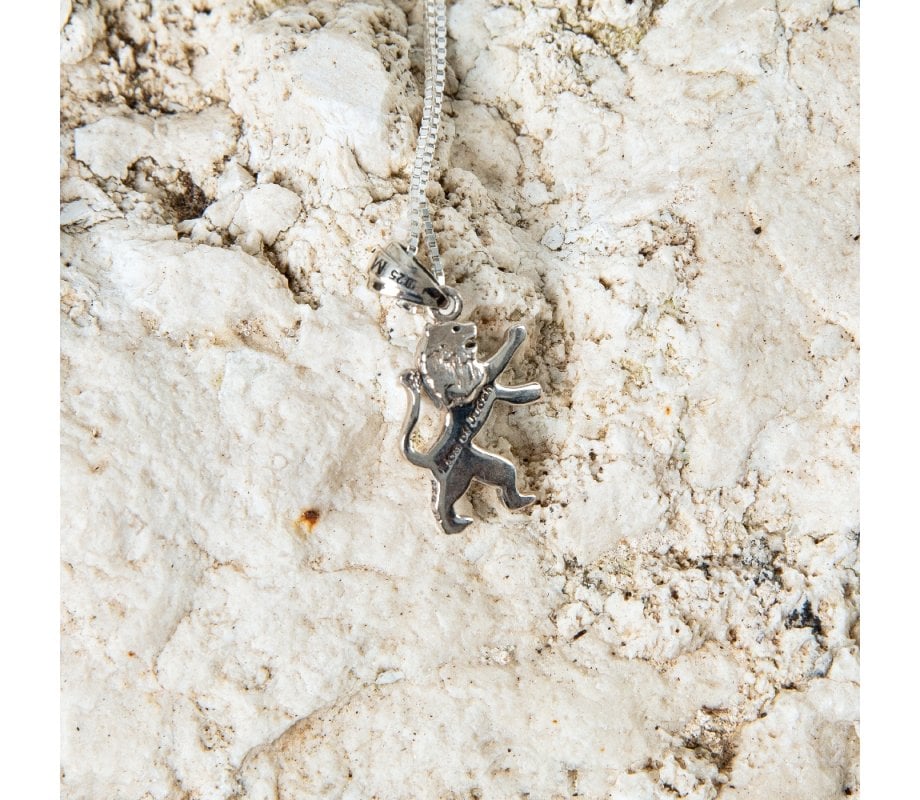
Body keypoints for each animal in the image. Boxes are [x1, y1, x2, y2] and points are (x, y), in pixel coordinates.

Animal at [399, 321, 542, 533]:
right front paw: (517, 333)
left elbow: (516, 393)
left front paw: (534, 391)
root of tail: (429, 459)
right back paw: (455, 526)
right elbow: (503, 356)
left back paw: (522, 501)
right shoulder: (487, 375)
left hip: (486, 467)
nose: (472, 325)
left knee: (507, 476)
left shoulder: (495, 388)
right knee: (442, 507)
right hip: (455, 482)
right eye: (456, 328)